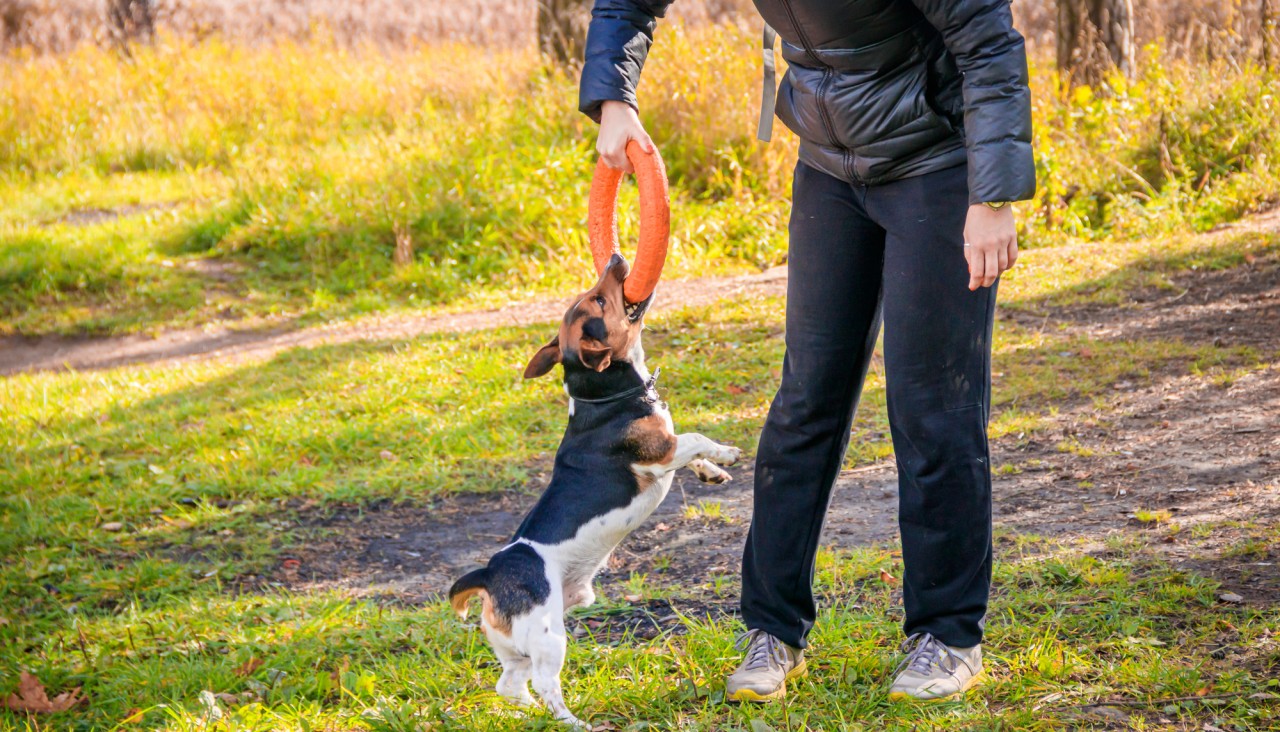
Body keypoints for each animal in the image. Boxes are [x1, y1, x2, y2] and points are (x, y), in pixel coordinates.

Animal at [448, 254, 742, 721]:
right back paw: (573, 723)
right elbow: (696, 437)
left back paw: (525, 716)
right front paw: (727, 453)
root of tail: (490, 574)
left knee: (509, 684)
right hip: (549, 638)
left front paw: (711, 472)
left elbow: (693, 451)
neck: (602, 396)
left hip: (515, 646)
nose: (616, 259)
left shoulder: (667, 450)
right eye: (600, 301)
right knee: (546, 684)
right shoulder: (658, 453)